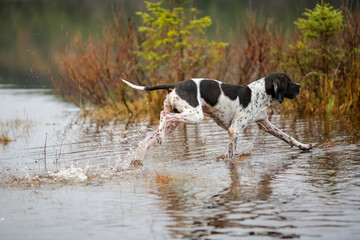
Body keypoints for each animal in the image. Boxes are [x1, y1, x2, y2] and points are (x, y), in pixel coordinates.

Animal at [121, 72, 312, 166]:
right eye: (289, 82)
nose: (300, 86)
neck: (259, 93)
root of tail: (174, 85)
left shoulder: (266, 125)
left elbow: (288, 137)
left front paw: (304, 146)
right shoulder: (234, 130)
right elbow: (231, 154)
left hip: (177, 122)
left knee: (150, 138)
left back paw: (140, 156)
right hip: (193, 116)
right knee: (163, 115)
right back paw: (158, 139)